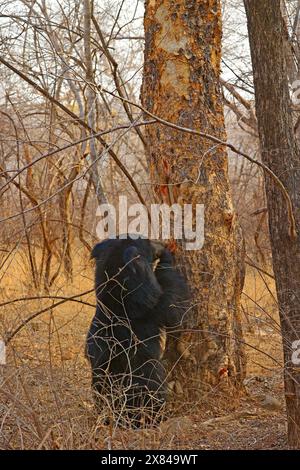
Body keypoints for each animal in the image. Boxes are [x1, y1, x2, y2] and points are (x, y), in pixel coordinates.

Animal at [86, 235, 188, 426]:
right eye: (147, 243)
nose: (162, 244)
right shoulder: (148, 309)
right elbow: (173, 308)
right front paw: (167, 257)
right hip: (145, 378)